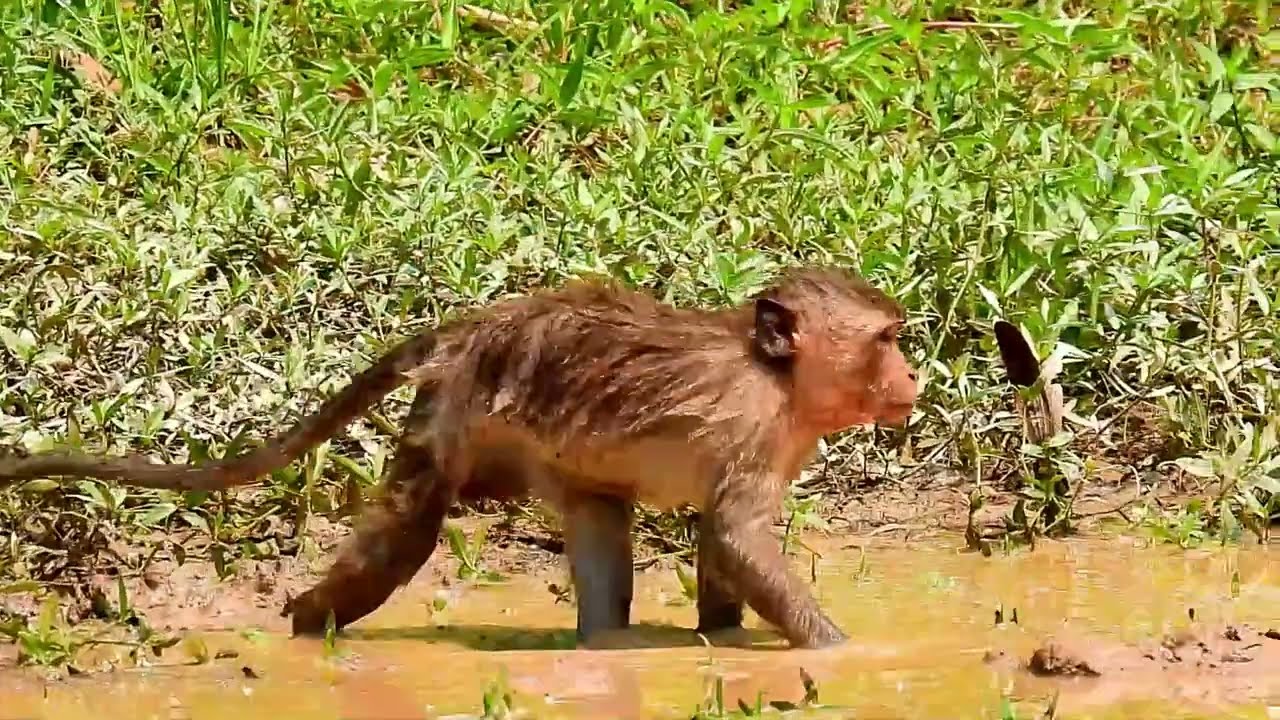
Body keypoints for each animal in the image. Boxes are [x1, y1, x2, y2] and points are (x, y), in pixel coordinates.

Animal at [0, 266, 918, 649]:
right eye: (887, 339)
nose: (914, 376)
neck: (777, 377)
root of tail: (482, 325)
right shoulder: (753, 427)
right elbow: (733, 532)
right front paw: (843, 654)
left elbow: (719, 542)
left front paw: (723, 638)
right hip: (455, 410)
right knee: (408, 527)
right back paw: (307, 623)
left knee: (597, 514)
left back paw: (605, 645)